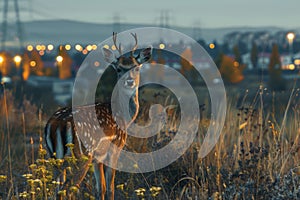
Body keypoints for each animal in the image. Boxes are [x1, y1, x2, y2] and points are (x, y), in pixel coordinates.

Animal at [44, 32, 152, 199]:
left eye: (137, 67)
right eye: (119, 69)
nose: (129, 81)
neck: (123, 117)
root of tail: (54, 125)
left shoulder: (98, 158)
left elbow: (99, 187)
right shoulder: (114, 148)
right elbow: (110, 187)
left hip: (54, 158)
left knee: (58, 190)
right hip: (81, 155)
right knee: (69, 188)